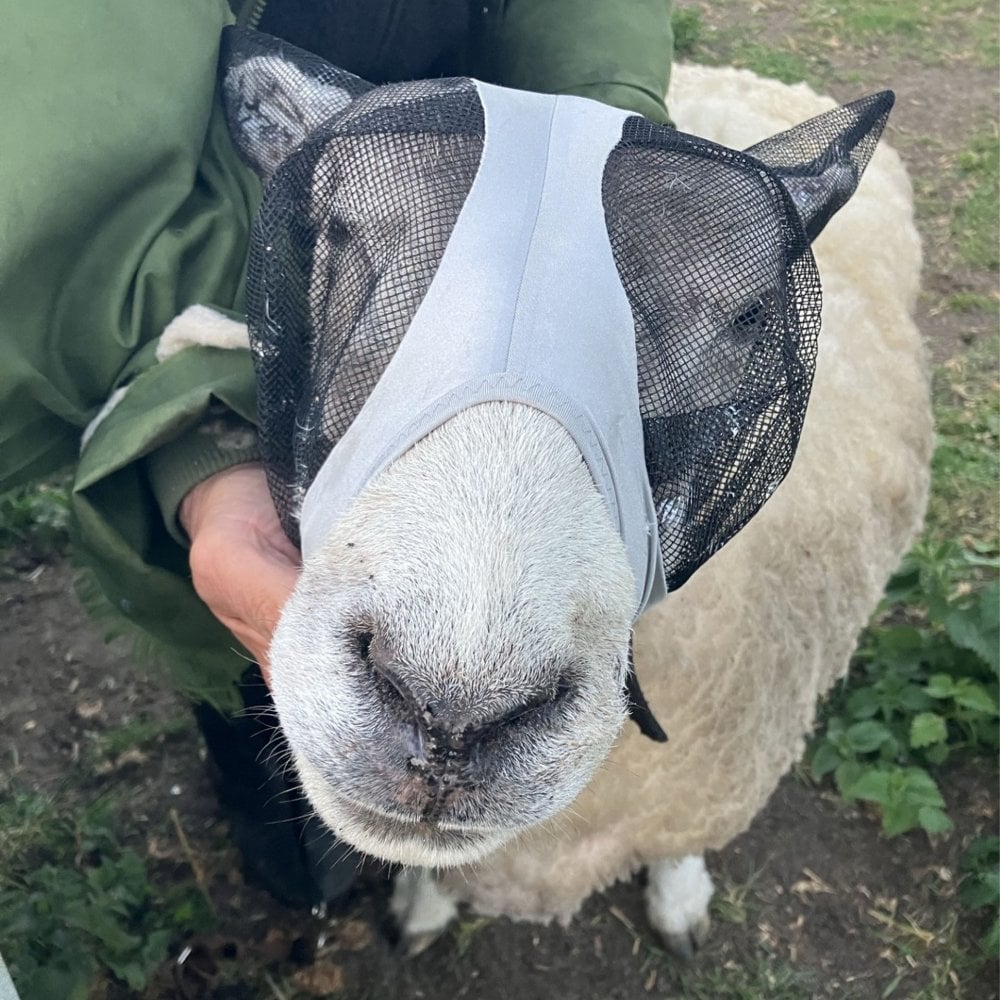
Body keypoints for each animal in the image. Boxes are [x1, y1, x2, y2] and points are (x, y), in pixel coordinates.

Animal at [218, 28, 933, 954]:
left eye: (749, 316)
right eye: (337, 232)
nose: (451, 712)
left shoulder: (703, 788)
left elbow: (676, 846)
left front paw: (679, 900)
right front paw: (421, 907)